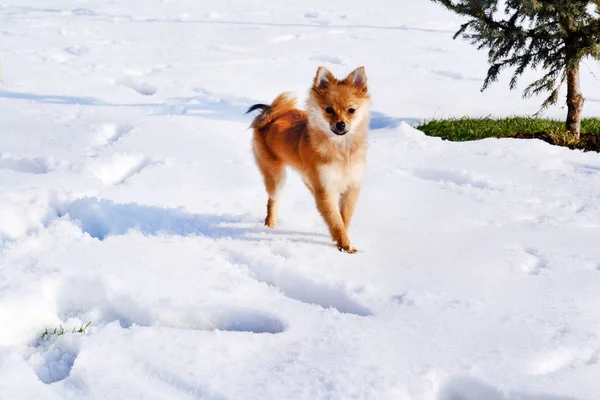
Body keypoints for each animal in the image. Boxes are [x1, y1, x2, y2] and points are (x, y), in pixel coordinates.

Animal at [245, 65, 368, 253]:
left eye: (351, 111)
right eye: (329, 110)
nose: (341, 124)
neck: (341, 148)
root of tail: (271, 114)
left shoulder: (351, 186)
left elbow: (343, 217)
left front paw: (342, 240)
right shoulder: (325, 189)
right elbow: (335, 219)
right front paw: (344, 245)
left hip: (308, 179)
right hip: (277, 176)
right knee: (272, 201)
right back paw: (270, 224)